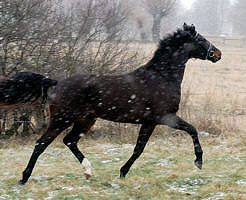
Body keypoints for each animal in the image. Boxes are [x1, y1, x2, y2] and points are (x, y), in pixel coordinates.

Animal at [0, 22, 221, 184]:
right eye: (201, 39)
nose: (218, 54)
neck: (161, 77)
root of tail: (57, 82)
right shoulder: (165, 117)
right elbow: (192, 130)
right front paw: (198, 161)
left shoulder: (149, 122)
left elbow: (139, 149)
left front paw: (122, 172)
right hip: (61, 120)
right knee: (41, 144)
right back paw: (24, 178)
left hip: (85, 120)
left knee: (70, 141)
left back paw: (88, 172)